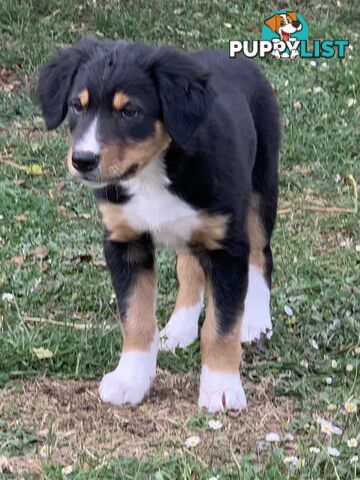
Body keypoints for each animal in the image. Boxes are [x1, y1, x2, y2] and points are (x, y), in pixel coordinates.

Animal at [36, 37, 280, 412]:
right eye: (77, 106)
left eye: (130, 111)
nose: (83, 160)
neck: (154, 170)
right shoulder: (125, 242)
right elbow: (135, 317)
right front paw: (130, 379)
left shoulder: (226, 245)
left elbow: (222, 326)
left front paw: (221, 386)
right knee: (190, 267)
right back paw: (180, 328)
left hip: (259, 191)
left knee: (261, 256)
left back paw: (255, 322)